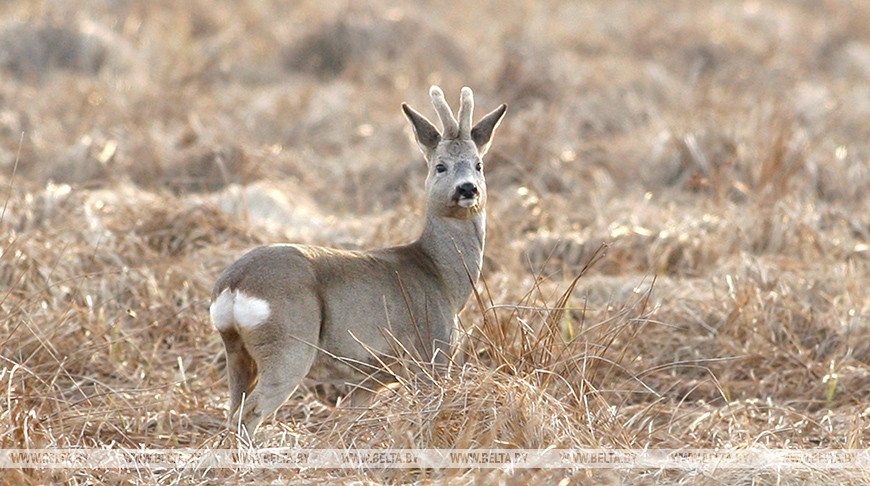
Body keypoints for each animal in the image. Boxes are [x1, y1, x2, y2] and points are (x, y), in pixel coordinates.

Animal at [211, 86, 508, 436]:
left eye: (479, 165)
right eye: (440, 166)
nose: (467, 189)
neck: (442, 278)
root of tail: (234, 283)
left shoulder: (368, 380)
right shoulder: (430, 353)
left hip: (237, 350)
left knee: (232, 409)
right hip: (288, 344)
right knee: (249, 414)